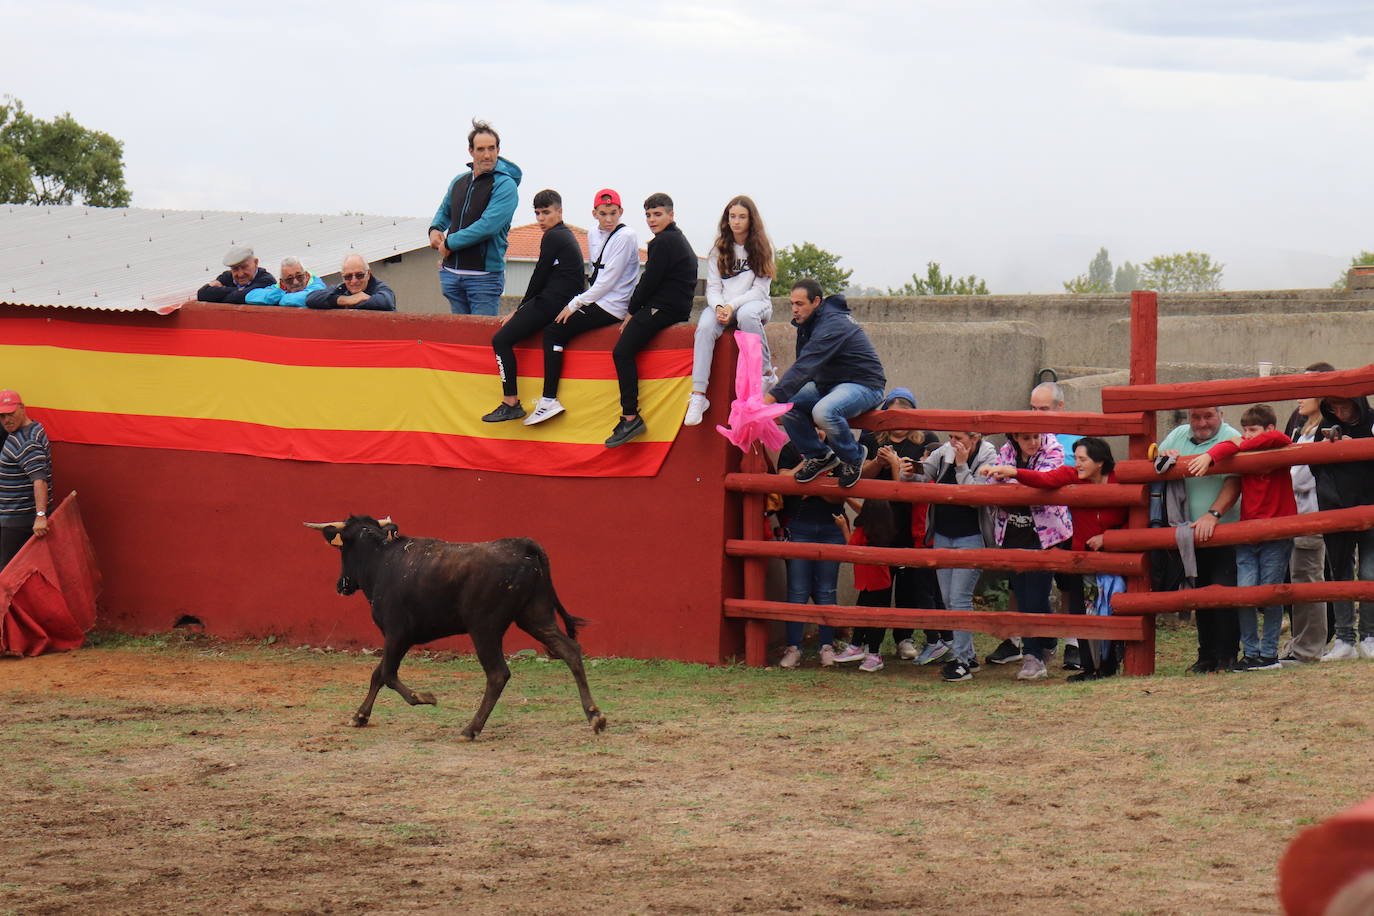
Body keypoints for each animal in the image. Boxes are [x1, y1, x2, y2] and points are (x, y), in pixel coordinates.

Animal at [306, 516, 607, 736]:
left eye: (342, 548)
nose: (341, 585)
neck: (383, 560)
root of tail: (524, 546)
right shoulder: (399, 638)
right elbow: (378, 674)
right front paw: (359, 716)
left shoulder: (396, 634)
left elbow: (388, 675)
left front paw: (425, 697)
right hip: (535, 616)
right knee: (570, 650)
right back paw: (595, 716)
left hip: (485, 628)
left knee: (497, 674)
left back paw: (471, 728)